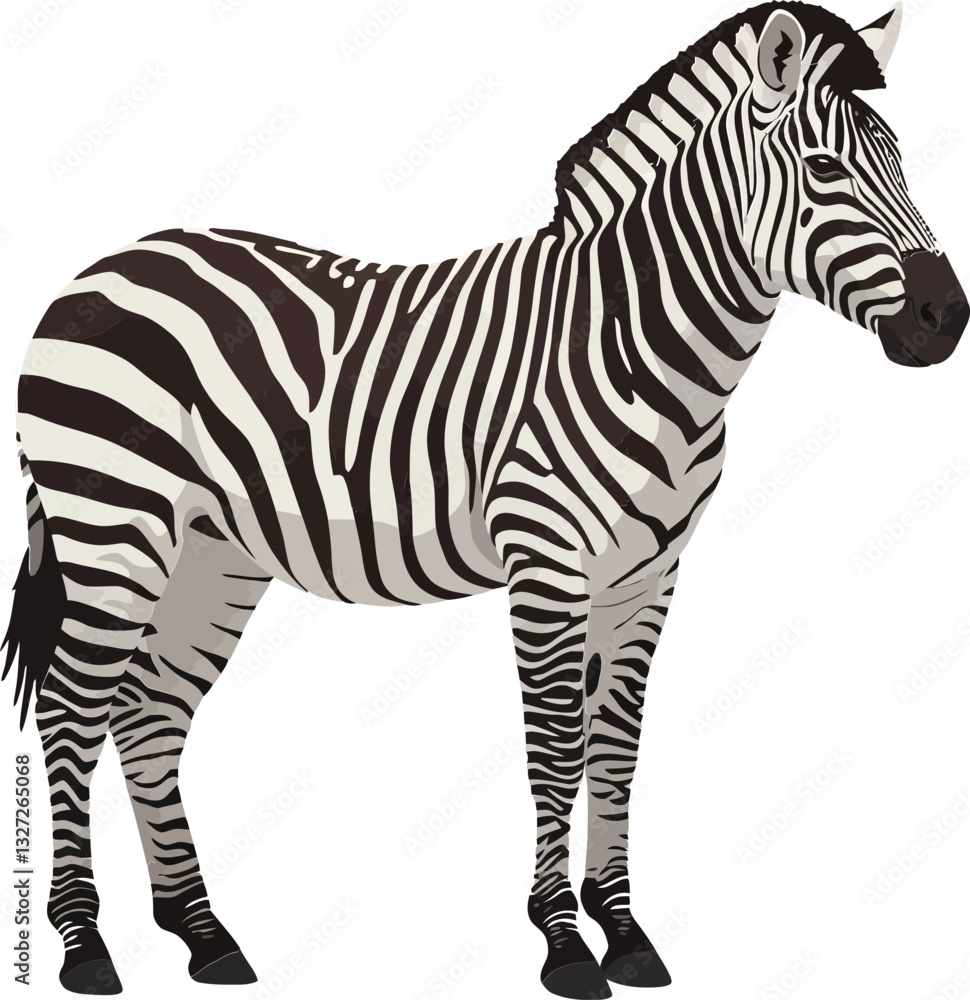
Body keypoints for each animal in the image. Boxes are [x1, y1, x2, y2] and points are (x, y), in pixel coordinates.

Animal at [3, 1, 966, 996]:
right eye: (825, 169)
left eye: (901, 159)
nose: (947, 320)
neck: (636, 343)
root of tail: (95, 269)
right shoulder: (546, 562)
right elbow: (557, 743)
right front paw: (565, 942)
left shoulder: (649, 574)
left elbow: (616, 742)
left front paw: (625, 930)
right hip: (113, 525)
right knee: (72, 708)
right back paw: (85, 945)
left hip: (211, 550)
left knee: (148, 711)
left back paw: (203, 933)